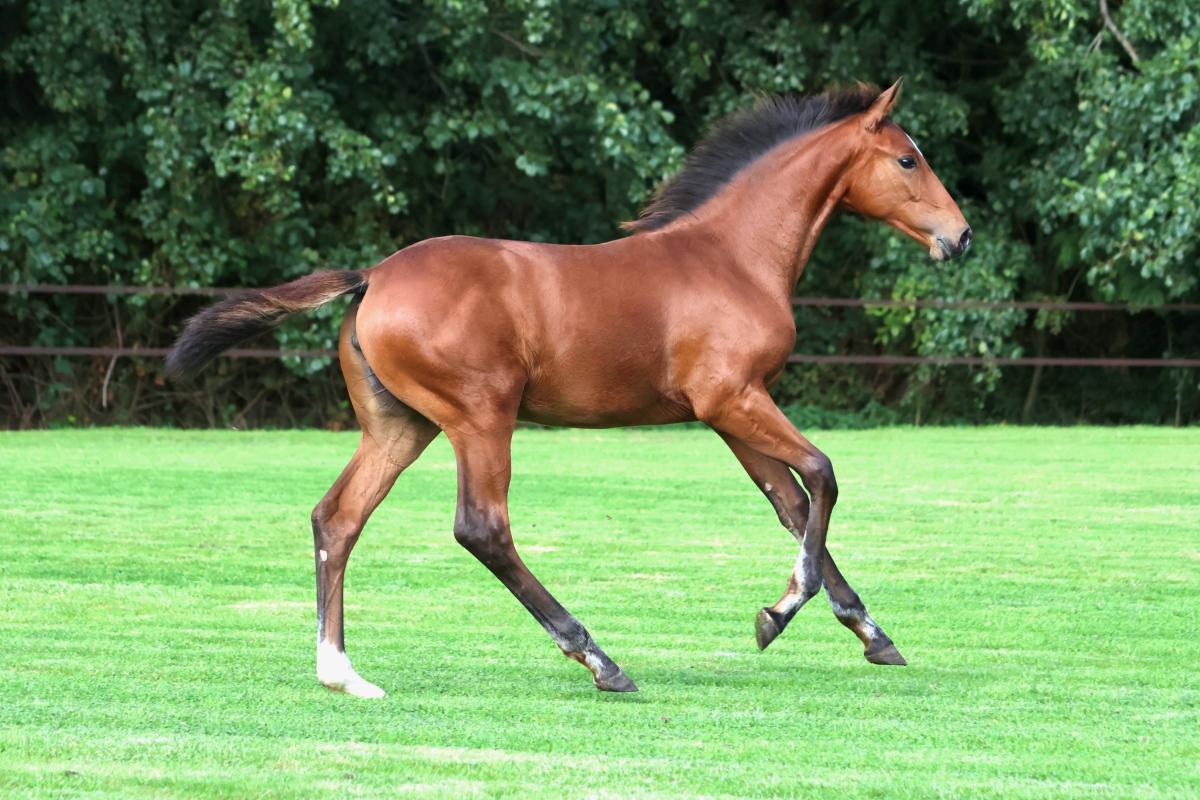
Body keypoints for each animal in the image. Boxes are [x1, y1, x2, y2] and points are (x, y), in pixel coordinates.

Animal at [166, 79, 971, 698]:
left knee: (338, 518)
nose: (959, 238)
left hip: (401, 425)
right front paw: (778, 615)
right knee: (482, 528)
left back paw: (341, 673)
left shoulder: (727, 413)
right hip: (481, 416)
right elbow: (823, 477)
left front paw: (869, 632)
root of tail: (372, 279)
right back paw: (599, 659)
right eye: (908, 158)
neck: (733, 257)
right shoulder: (734, 399)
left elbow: (791, 504)